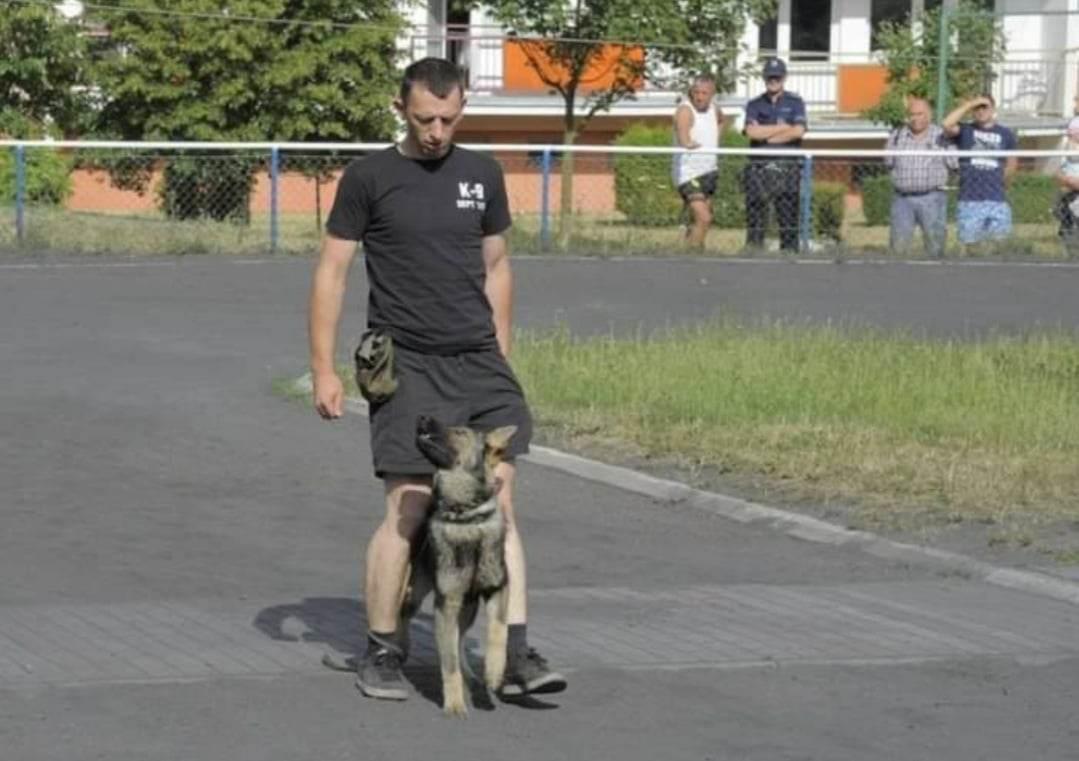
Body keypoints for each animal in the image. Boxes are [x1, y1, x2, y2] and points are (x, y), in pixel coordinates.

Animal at [405, 414, 520, 716]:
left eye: (459, 432)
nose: (421, 417)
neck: (466, 516)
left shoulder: (498, 589)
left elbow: (499, 630)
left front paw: (494, 670)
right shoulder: (446, 604)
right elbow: (449, 664)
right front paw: (455, 703)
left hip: (468, 608)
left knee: (459, 640)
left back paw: (473, 676)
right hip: (418, 597)